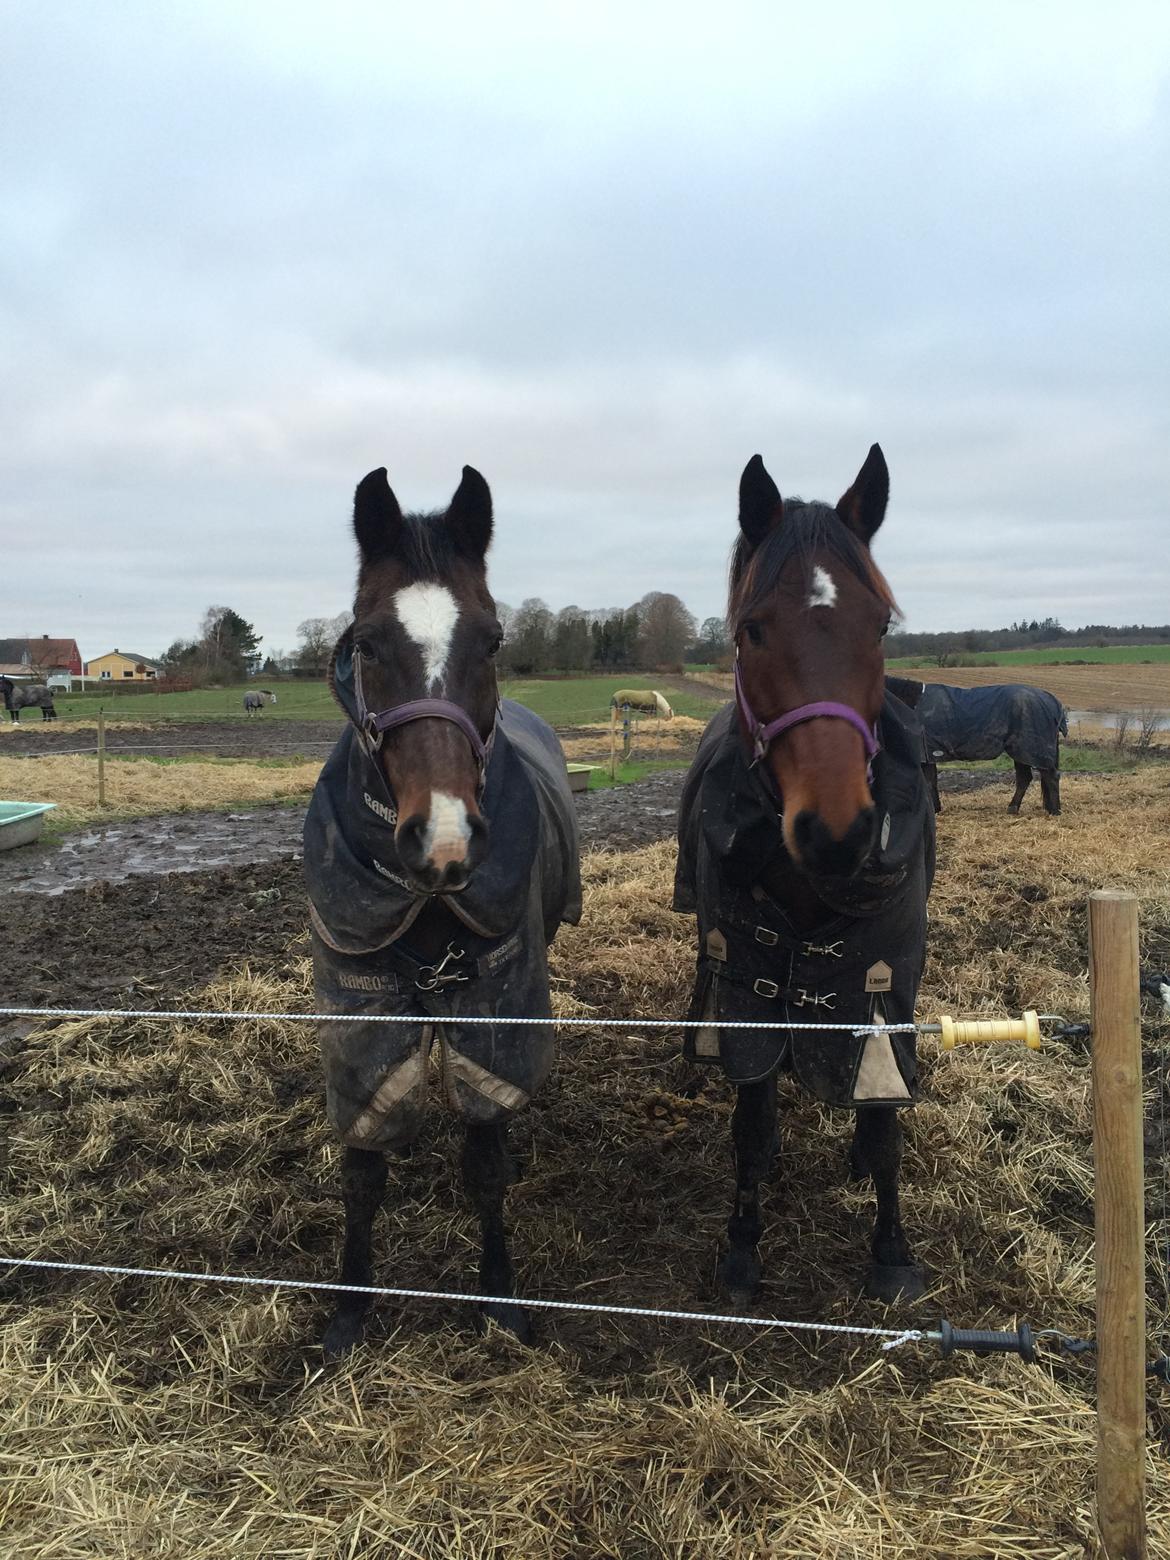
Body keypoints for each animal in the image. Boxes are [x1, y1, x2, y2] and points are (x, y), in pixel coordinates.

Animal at [299, 461, 580, 1354]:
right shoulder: (364, 1022)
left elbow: (485, 1162)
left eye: (491, 640)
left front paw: (500, 1296)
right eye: (366, 642)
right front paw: (349, 1312)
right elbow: (363, 1167)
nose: (445, 838)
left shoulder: (491, 1006)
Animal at [677, 449, 935, 1304]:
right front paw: (742, 1247)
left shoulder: (880, 985)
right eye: (753, 630)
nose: (837, 831)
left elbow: (884, 1120)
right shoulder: (748, 983)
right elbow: (753, 1123)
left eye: (880, 625)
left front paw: (891, 1252)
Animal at [886, 680, 1073, 817]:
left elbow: (929, 782)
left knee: (1050, 776)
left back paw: (1054, 811)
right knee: (1025, 778)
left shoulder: (925, 755)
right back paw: (1014, 808)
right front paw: (936, 808)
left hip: (1031, 749)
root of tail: (1051, 700)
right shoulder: (930, 755)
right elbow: (932, 781)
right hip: (1021, 751)